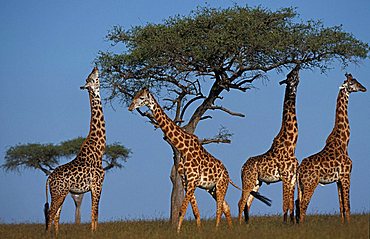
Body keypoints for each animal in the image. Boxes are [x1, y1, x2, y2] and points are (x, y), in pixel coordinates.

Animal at [44, 67, 107, 233]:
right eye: (91, 78)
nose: (95, 67)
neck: (99, 149)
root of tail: (49, 178)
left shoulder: (93, 187)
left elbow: (94, 213)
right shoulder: (97, 184)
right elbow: (95, 212)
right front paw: (94, 233)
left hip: (60, 193)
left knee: (56, 215)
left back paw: (56, 235)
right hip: (59, 192)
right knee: (50, 213)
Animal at [129, 87, 270, 232]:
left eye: (141, 98)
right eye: (135, 95)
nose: (130, 107)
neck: (183, 148)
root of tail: (227, 174)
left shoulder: (192, 181)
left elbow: (182, 210)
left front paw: (178, 232)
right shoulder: (186, 181)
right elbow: (195, 211)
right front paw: (198, 231)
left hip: (221, 185)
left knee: (220, 208)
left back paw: (217, 229)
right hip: (212, 189)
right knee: (226, 206)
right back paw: (230, 229)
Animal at [237, 64, 300, 223]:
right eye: (290, 75)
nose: (297, 64)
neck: (291, 144)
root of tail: (242, 167)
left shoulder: (292, 178)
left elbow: (291, 205)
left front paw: (292, 224)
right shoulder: (285, 176)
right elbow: (285, 204)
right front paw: (285, 224)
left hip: (256, 182)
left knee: (247, 203)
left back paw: (247, 224)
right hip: (248, 180)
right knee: (241, 202)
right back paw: (238, 224)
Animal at [296, 73, 366, 224]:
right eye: (352, 83)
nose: (364, 88)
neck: (344, 141)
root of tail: (298, 170)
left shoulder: (338, 180)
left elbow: (341, 206)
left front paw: (343, 224)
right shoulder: (346, 175)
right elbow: (347, 205)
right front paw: (349, 225)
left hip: (300, 186)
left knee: (298, 203)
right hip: (311, 183)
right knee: (303, 205)